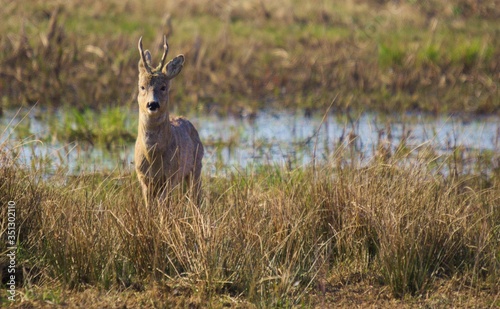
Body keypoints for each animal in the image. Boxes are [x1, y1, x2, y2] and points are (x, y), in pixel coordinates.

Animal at [135, 36, 203, 208]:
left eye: (164, 87)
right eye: (142, 87)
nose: (152, 104)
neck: (153, 157)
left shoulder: (171, 174)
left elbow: (162, 203)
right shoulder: (143, 177)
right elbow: (149, 205)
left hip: (196, 165)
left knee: (195, 197)